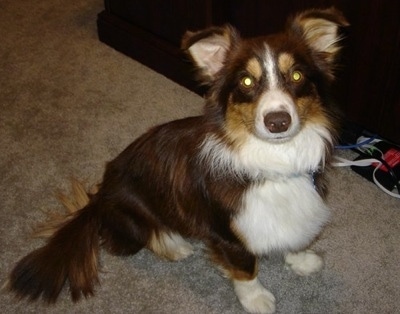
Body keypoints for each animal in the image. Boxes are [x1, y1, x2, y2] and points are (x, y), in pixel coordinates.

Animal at [7, 7, 348, 314]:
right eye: (247, 82)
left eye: (297, 75)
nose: (278, 121)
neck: (274, 161)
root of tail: (96, 199)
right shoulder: (227, 233)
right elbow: (245, 269)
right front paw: (256, 300)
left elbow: (295, 235)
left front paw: (302, 259)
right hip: (133, 221)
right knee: (134, 238)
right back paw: (175, 244)